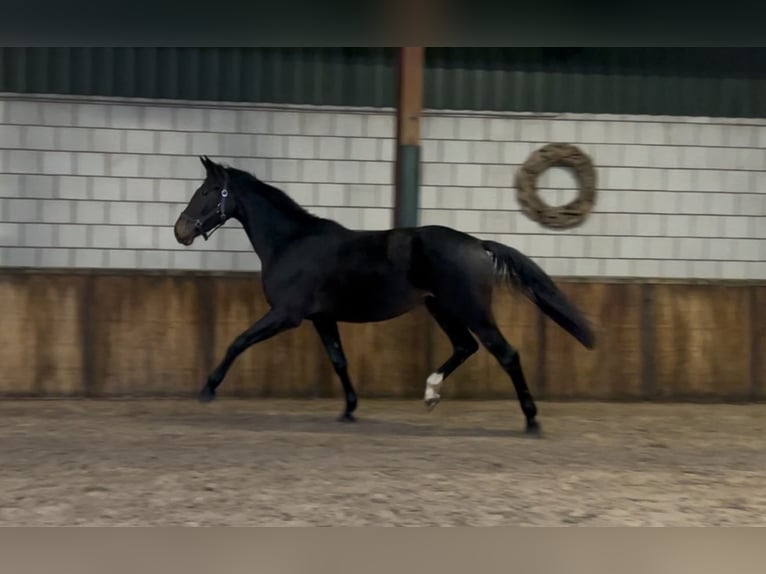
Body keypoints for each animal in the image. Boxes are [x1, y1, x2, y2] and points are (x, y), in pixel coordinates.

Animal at [176, 155, 600, 434]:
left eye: (210, 191)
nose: (181, 231)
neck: (292, 242)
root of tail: (478, 245)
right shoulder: (321, 317)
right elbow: (339, 361)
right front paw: (349, 410)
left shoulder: (287, 314)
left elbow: (238, 340)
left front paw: (207, 390)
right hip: (442, 309)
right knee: (465, 347)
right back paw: (431, 394)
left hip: (471, 310)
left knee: (505, 353)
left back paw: (531, 419)